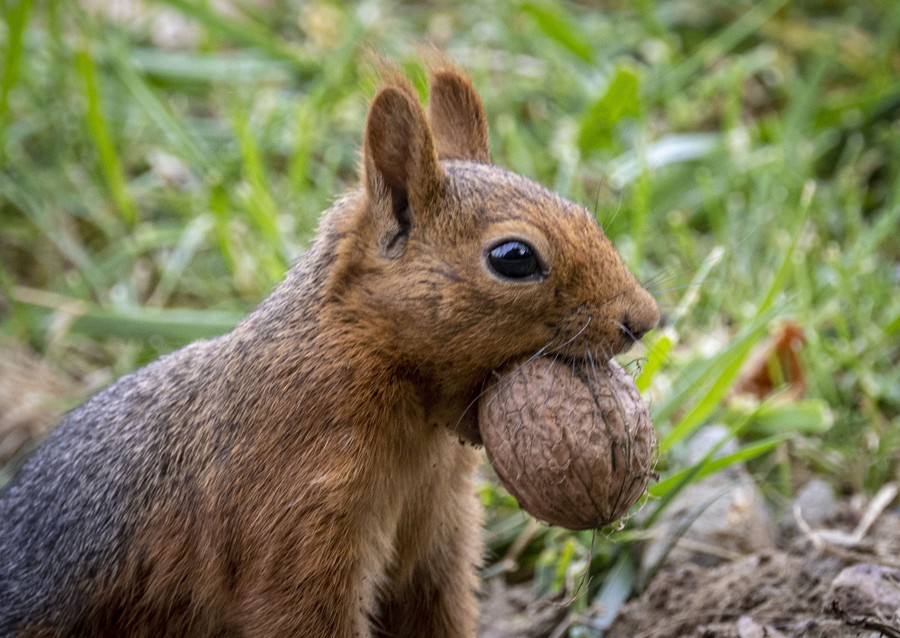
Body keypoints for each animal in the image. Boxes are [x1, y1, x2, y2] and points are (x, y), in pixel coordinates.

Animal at [0, 63, 659, 637]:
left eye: (584, 212)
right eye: (514, 257)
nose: (645, 319)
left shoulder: (438, 541)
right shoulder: (295, 518)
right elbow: (299, 611)